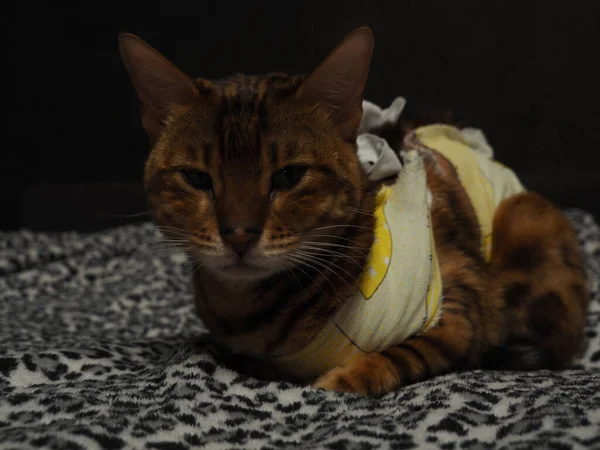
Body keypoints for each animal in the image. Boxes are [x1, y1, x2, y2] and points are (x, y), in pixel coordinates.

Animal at [119, 27, 588, 394]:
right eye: (197, 178)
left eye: (289, 176)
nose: (238, 234)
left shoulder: (461, 302)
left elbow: (406, 353)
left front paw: (346, 378)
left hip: (524, 216)